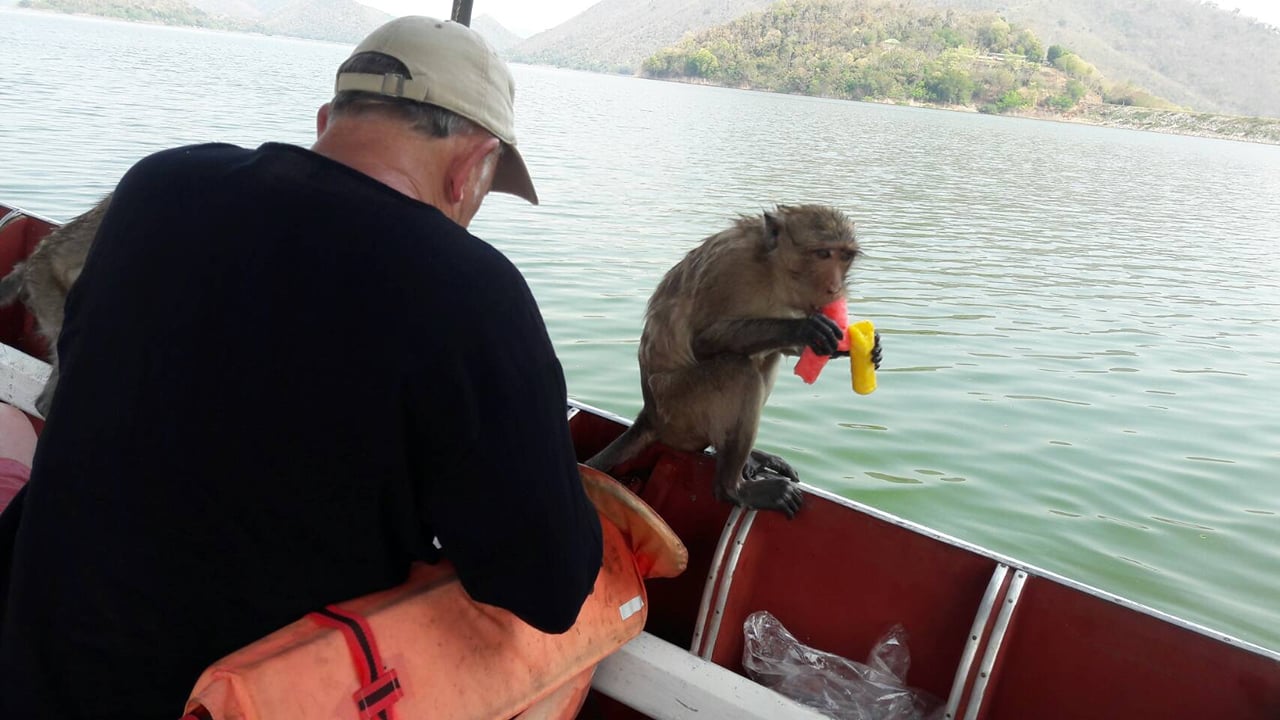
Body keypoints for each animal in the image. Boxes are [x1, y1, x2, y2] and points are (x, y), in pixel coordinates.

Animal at [586, 204, 881, 518]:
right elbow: (702, 341)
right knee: (737, 370)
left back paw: (747, 457)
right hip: (679, 409)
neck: (772, 270)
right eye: (823, 254)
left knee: (766, 358)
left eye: (845, 256)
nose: (835, 288)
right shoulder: (729, 270)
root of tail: (651, 414)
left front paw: (857, 346)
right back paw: (733, 487)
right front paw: (804, 329)